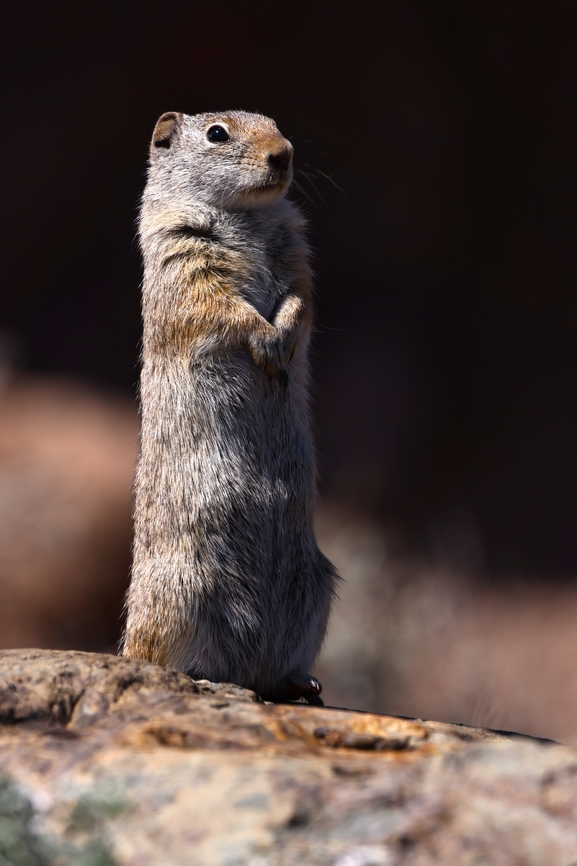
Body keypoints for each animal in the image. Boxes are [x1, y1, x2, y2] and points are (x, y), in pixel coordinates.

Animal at [122, 110, 336, 704]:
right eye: (217, 133)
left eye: (276, 123)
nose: (284, 153)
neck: (249, 216)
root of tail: (249, 672)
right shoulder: (184, 258)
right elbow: (222, 305)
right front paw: (264, 341)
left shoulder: (296, 253)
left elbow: (300, 298)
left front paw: (282, 341)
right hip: (181, 593)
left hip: (317, 588)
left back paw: (302, 683)